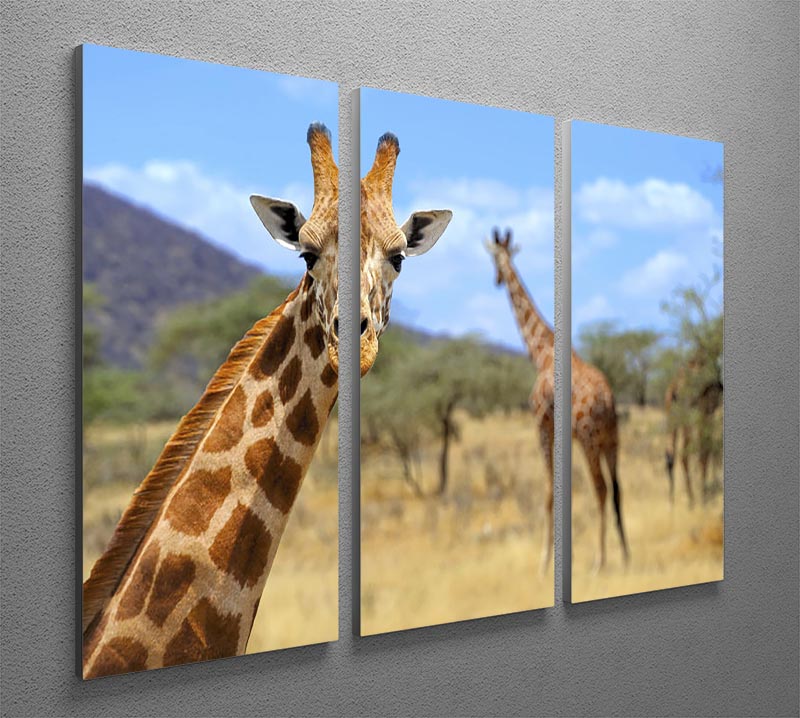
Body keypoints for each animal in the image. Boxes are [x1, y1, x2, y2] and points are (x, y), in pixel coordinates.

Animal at [485, 229, 628, 571]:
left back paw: (600, 560)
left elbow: (549, 491)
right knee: (618, 489)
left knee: (602, 489)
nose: (496, 278)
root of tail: (608, 402)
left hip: (590, 440)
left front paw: (543, 562)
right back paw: (626, 555)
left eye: (494, 257)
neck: (542, 354)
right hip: (612, 439)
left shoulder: (542, 425)